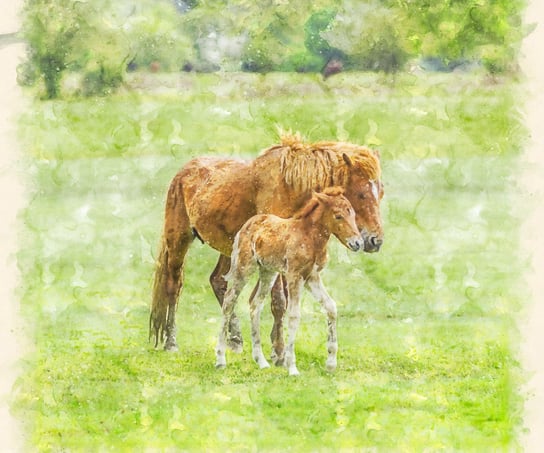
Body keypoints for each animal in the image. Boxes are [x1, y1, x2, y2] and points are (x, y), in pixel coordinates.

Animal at [215, 186, 364, 374]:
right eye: (338, 216)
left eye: (353, 214)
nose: (358, 243)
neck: (310, 238)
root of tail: (248, 224)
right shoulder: (295, 276)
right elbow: (294, 315)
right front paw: (292, 367)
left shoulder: (312, 277)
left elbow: (331, 307)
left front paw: (331, 363)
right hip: (244, 268)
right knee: (229, 301)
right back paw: (220, 360)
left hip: (268, 272)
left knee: (255, 304)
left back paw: (261, 361)